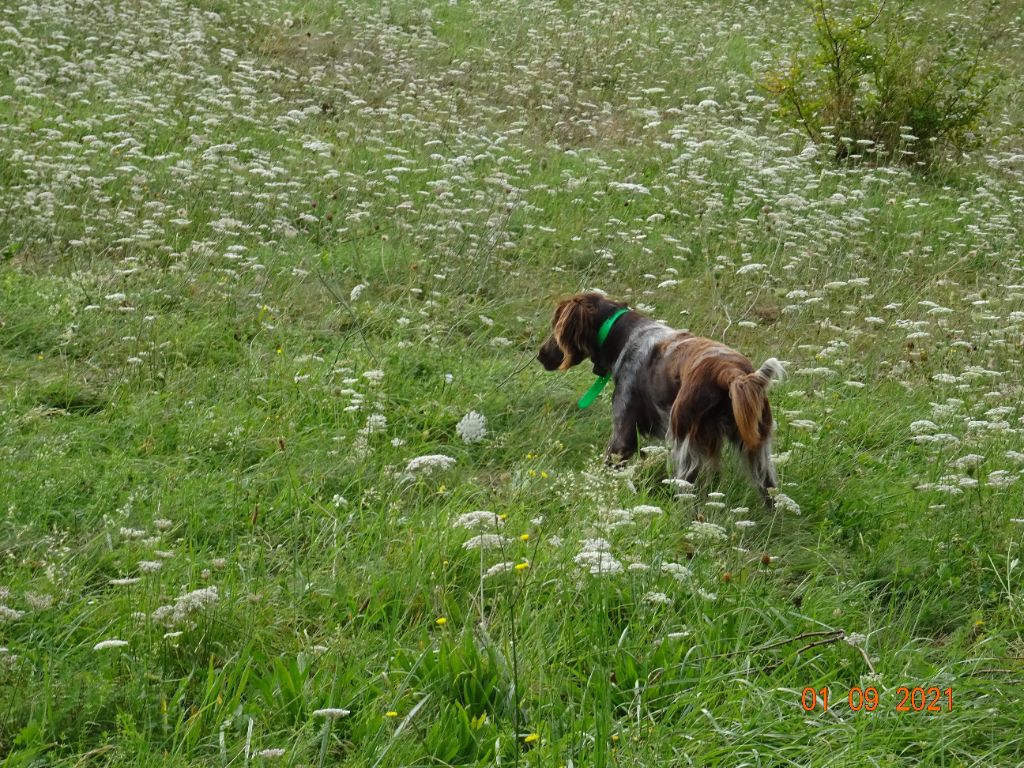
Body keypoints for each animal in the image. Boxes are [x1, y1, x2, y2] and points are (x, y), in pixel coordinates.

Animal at [536, 290, 782, 507]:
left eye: (555, 326)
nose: (540, 355)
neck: (623, 335)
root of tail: (730, 373)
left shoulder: (623, 434)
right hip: (756, 448)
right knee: (771, 493)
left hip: (684, 442)